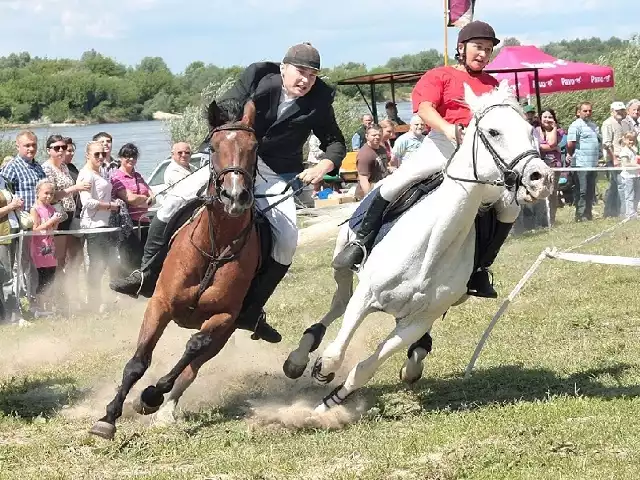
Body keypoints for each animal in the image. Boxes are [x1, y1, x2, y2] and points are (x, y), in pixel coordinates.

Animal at [89, 99, 262, 440]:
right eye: (213, 147)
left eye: (254, 147)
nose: (235, 196)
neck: (215, 247)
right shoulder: (160, 304)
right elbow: (137, 362)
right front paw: (108, 417)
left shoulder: (224, 318)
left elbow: (192, 349)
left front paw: (151, 396)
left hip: (224, 333)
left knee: (192, 367)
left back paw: (164, 408)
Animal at [282, 81, 552, 412]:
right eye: (493, 132)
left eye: (529, 131)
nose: (540, 178)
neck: (432, 247)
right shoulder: (366, 295)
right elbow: (336, 352)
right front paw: (320, 384)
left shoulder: (418, 320)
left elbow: (365, 368)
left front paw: (330, 404)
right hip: (342, 265)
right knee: (340, 301)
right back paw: (298, 358)